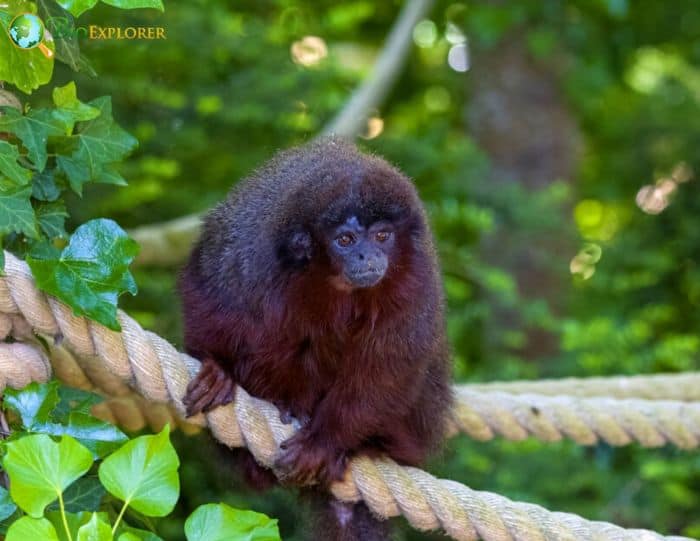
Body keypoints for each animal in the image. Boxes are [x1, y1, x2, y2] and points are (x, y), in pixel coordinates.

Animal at [179, 138, 454, 536]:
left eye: (382, 236)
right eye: (346, 239)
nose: (367, 255)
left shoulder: (416, 275)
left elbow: (389, 366)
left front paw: (325, 443)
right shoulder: (251, 252)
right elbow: (208, 287)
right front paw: (218, 367)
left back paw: (364, 447)